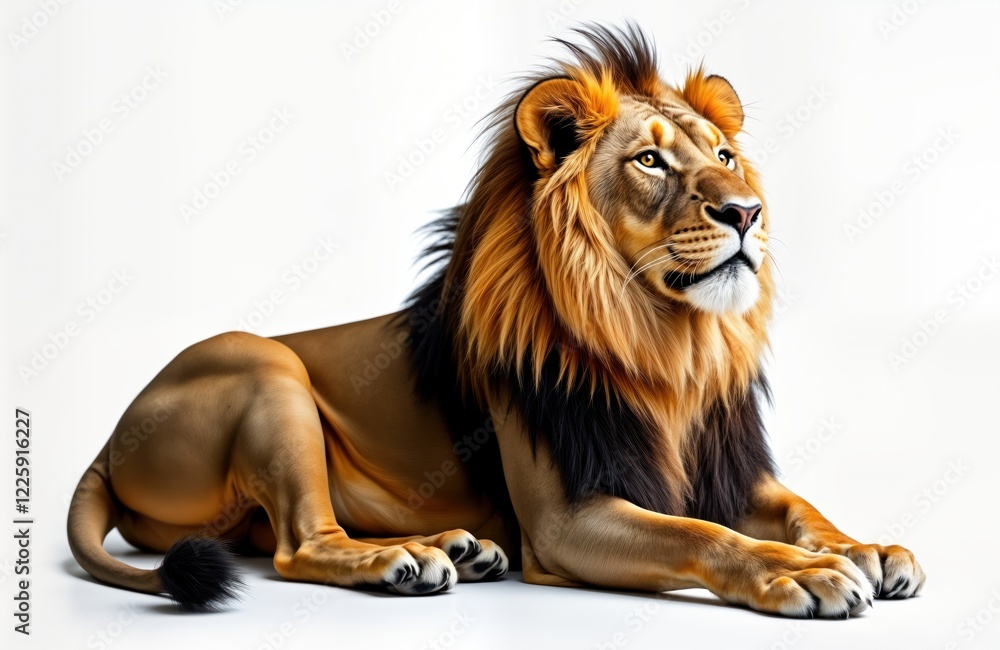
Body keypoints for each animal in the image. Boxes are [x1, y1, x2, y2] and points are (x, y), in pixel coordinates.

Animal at [68, 24, 925, 617]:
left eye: (724, 155)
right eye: (650, 162)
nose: (746, 211)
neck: (669, 347)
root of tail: (106, 446)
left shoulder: (728, 468)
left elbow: (800, 508)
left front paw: (865, 549)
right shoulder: (565, 519)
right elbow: (700, 534)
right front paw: (796, 572)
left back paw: (457, 545)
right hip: (262, 366)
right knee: (299, 544)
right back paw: (405, 561)